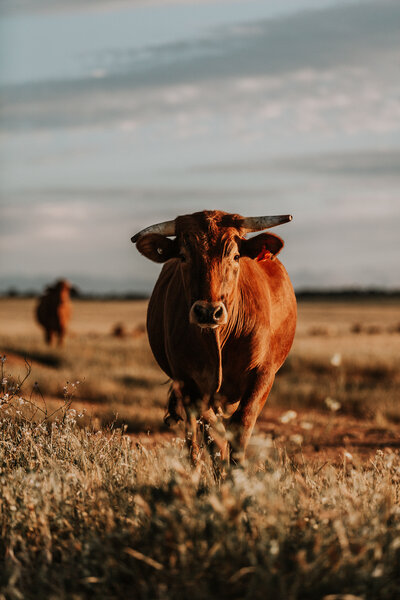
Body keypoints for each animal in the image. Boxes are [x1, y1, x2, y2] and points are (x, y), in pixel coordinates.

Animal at [132, 211, 296, 464]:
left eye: (236, 256)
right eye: (183, 256)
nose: (208, 312)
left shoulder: (263, 374)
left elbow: (241, 426)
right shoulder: (189, 382)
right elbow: (212, 434)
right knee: (193, 436)